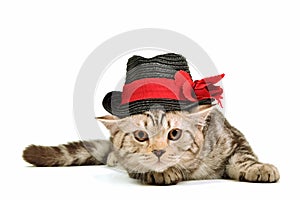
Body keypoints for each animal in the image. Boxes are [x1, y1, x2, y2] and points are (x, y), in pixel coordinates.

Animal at [22, 104, 278, 184]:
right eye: (140, 135)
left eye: (174, 133)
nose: (158, 151)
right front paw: (162, 173)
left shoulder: (232, 136)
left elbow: (244, 156)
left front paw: (258, 167)